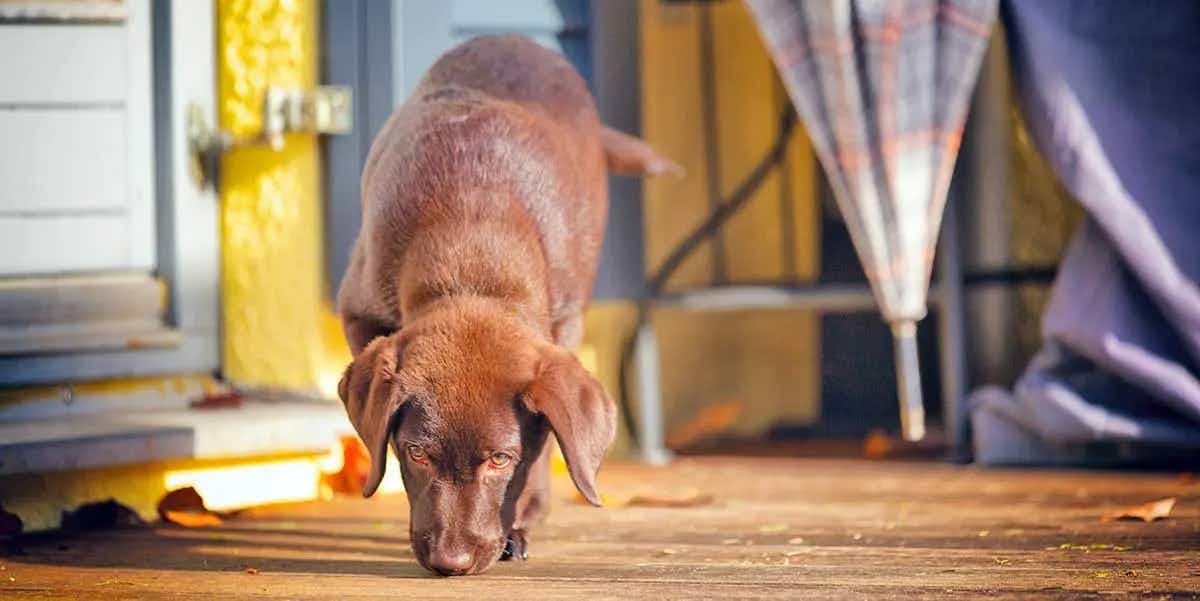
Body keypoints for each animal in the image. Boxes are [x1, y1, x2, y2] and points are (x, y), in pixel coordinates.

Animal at [338, 34, 676, 575]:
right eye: (417, 453)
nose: (451, 562)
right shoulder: (359, 311)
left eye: (500, 460)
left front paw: (520, 521)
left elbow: (545, 442)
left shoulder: (561, 333)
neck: (472, 236)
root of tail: (514, 38)